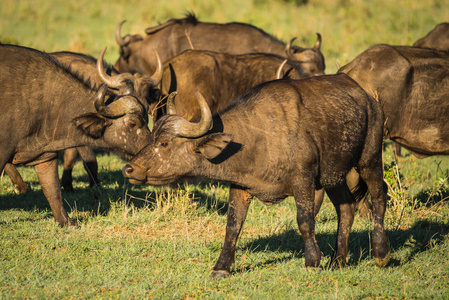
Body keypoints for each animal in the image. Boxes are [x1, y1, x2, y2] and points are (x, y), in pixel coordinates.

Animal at [0, 44, 150, 226]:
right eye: (133, 123)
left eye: (147, 118)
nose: (150, 145)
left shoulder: (46, 156)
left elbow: (53, 190)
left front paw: (66, 222)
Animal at [121, 73, 388, 276]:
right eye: (152, 138)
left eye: (164, 143)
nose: (129, 169)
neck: (258, 137)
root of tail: (368, 98)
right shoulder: (240, 186)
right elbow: (232, 226)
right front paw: (222, 267)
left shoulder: (303, 181)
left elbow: (305, 220)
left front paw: (312, 261)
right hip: (334, 175)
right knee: (347, 207)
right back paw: (338, 259)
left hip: (370, 159)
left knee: (379, 198)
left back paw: (380, 253)